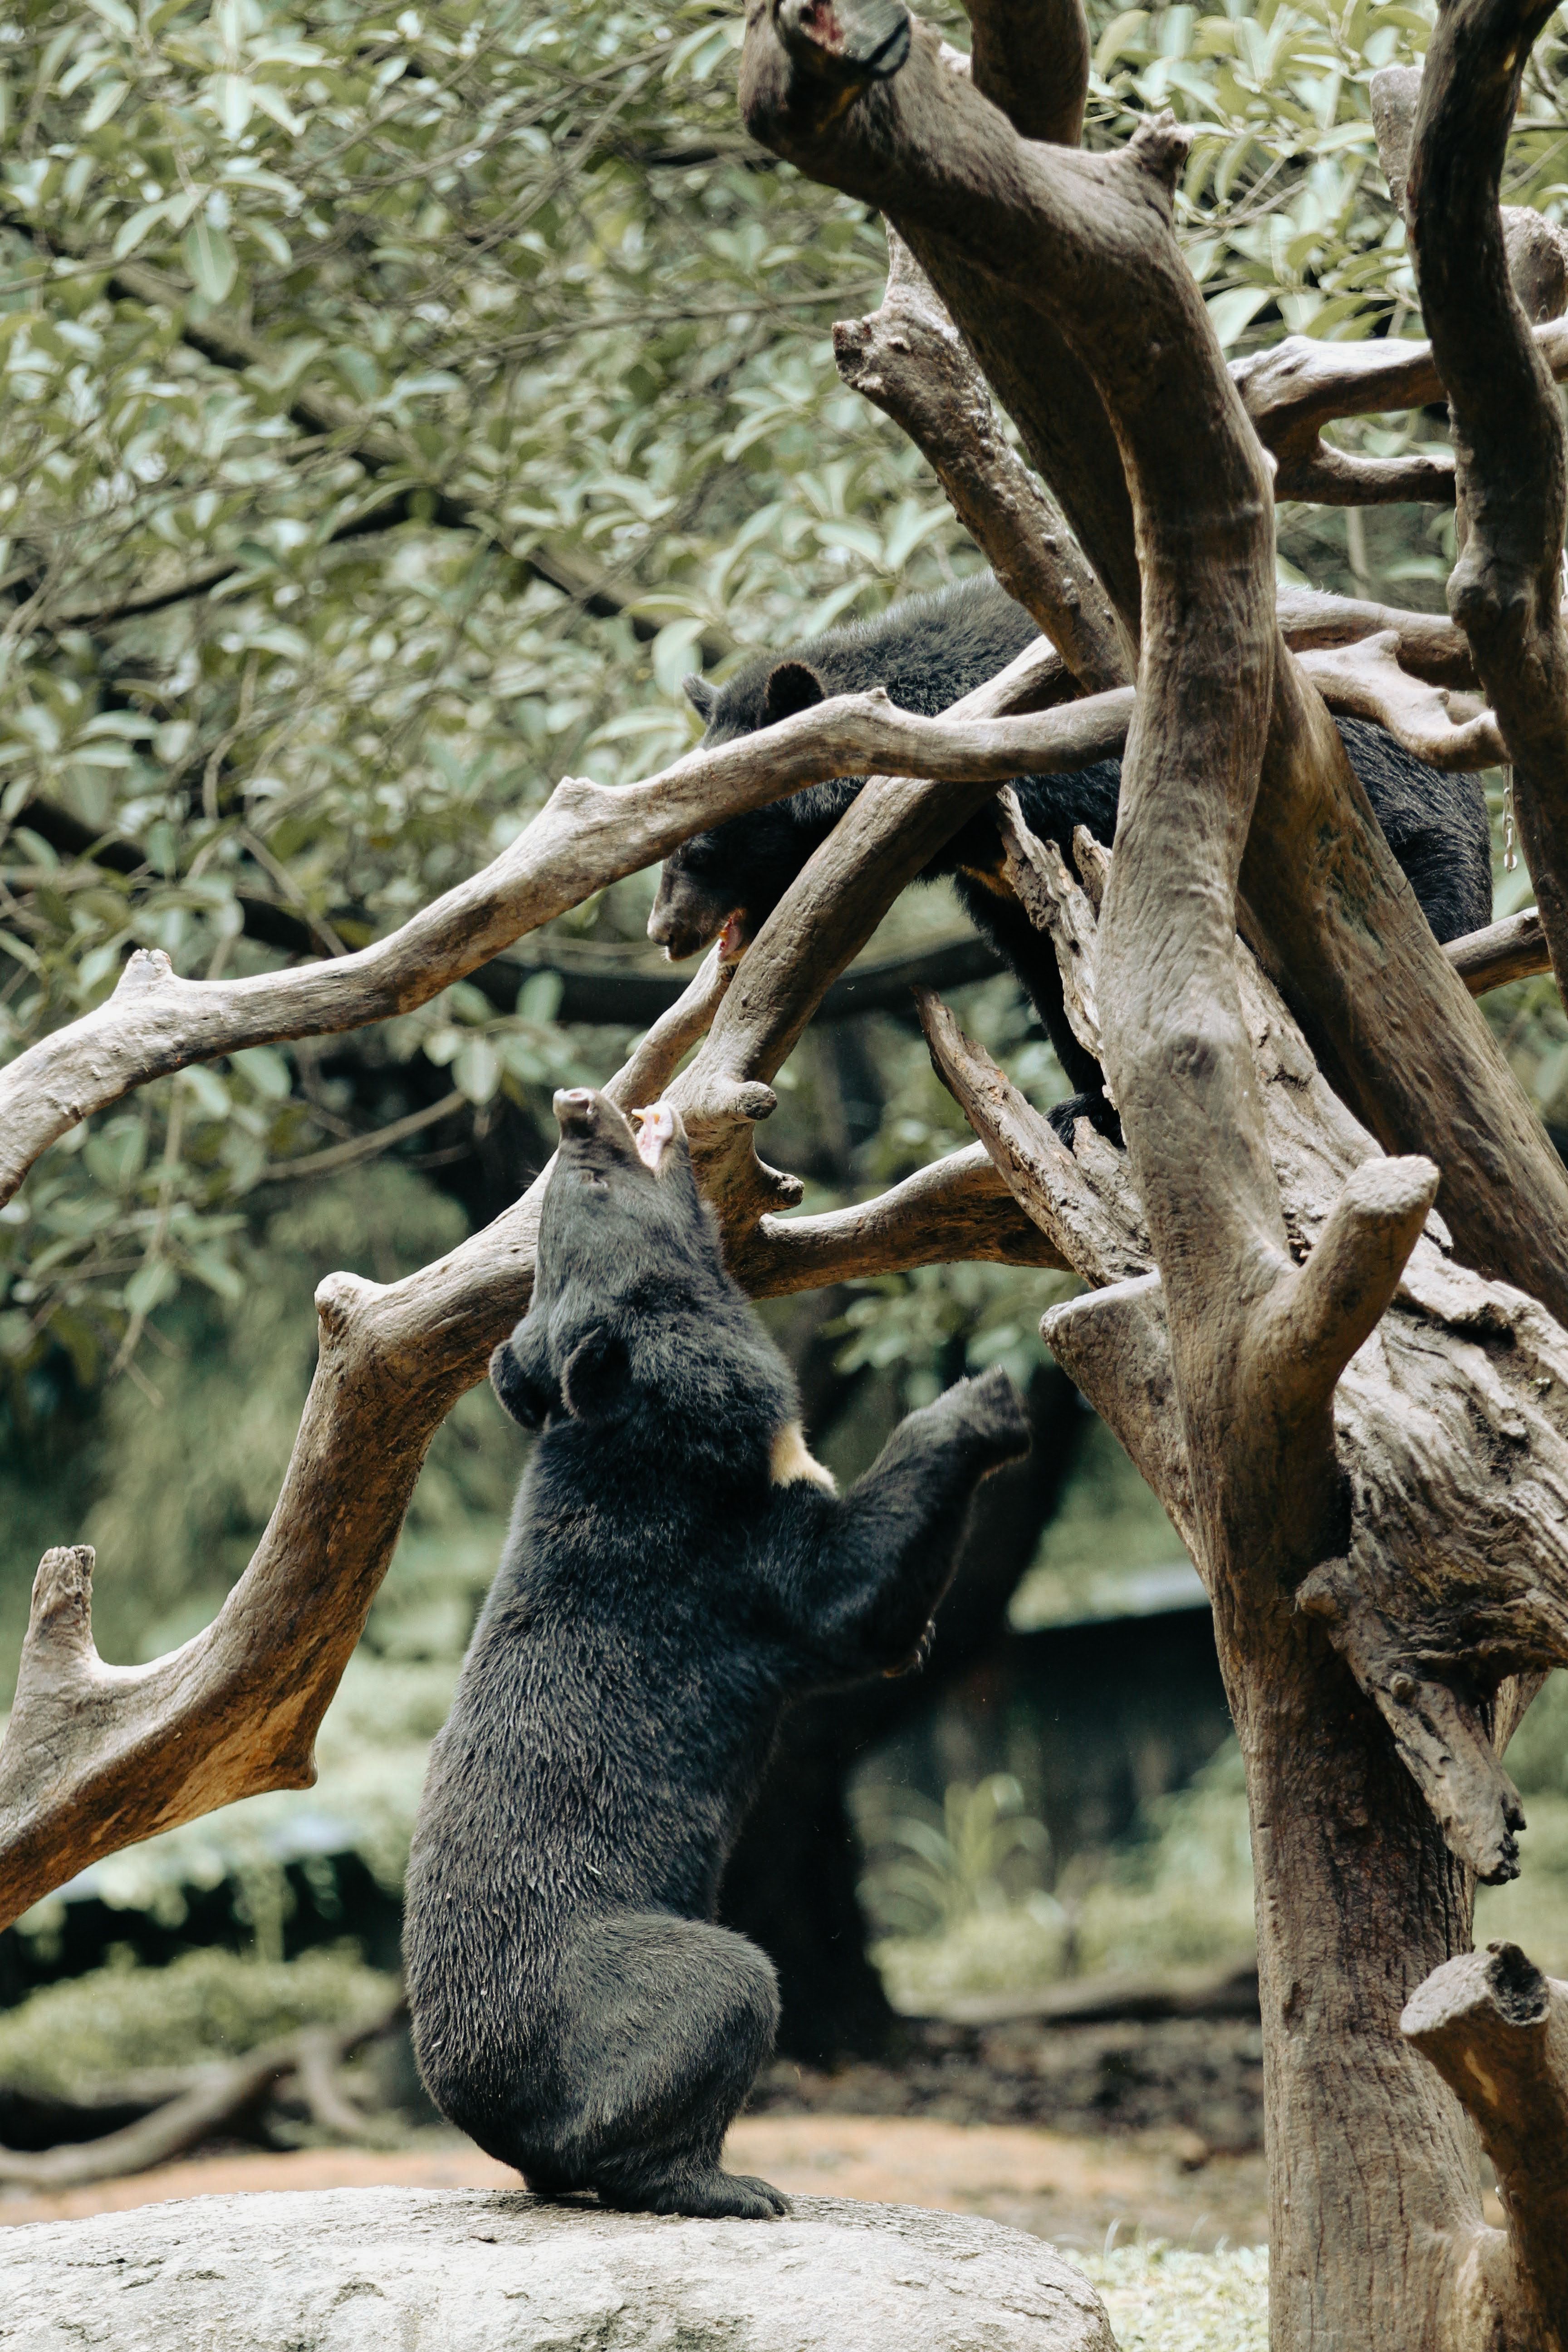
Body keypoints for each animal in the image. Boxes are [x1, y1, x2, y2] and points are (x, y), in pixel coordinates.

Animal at [402, 1084, 1031, 2221]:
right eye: (590, 1178)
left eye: (560, 1189)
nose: (578, 1104)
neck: (644, 1417)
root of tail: (485, 2119)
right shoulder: (723, 1560)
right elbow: (844, 1593)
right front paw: (989, 1400)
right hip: (637, 1984)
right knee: (721, 2006)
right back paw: (737, 2187)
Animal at [648, 572, 1495, 1132]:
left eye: (700, 847)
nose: (665, 932)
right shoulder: (997, 879)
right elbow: (1045, 971)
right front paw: (1087, 1100)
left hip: (1390, 829)